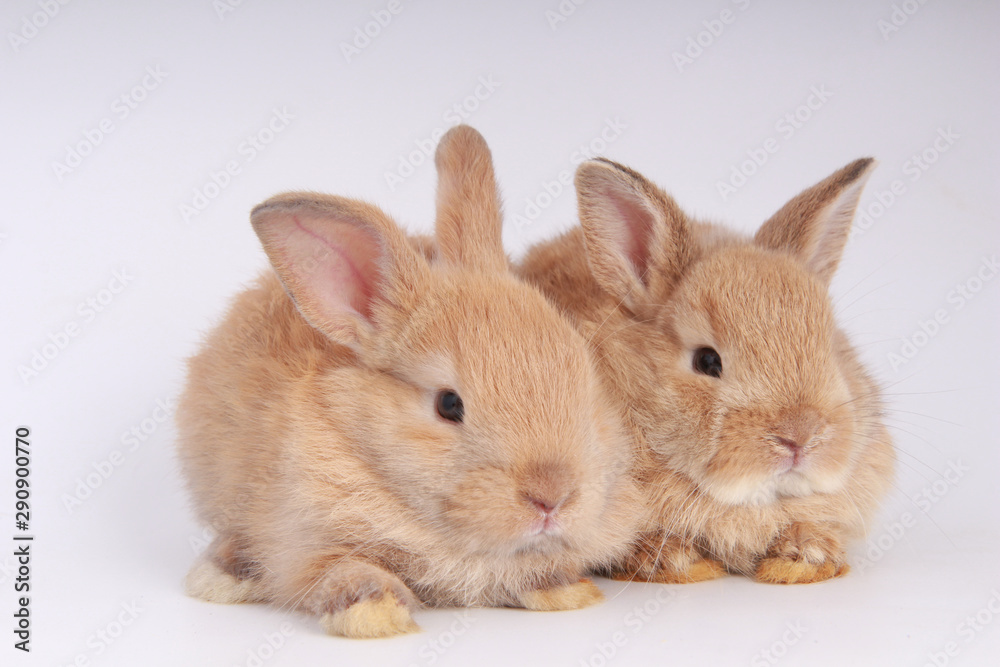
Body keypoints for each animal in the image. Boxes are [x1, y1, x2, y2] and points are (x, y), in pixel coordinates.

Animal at [173, 126, 644, 640]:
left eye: (584, 375)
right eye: (448, 405)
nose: (551, 497)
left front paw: (565, 591)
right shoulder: (300, 543)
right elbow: (337, 571)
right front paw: (374, 612)